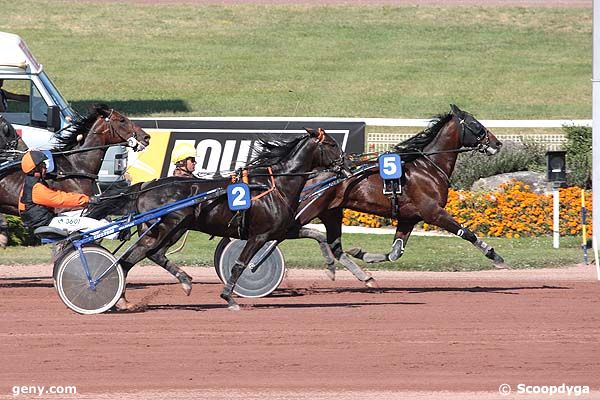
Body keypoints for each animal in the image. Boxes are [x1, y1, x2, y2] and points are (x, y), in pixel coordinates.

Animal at [86, 127, 344, 310]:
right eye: (331, 144)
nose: (346, 163)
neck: (275, 184)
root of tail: (145, 186)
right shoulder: (259, 236)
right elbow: (240, 264)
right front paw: (229, 298)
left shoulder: (281, 230)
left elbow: (317, 234)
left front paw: (331, 268)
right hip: (167, 227)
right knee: (139, 257)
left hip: (167, 230)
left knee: (138, 257)